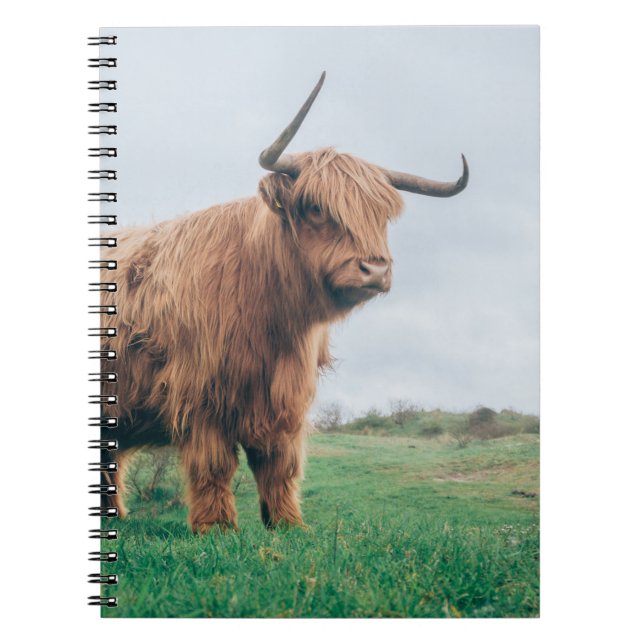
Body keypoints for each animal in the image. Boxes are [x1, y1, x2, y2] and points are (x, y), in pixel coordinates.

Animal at [100, 72, 468, 532]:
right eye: (316, 208)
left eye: (380, 215)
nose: (375, 270)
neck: (273, 318)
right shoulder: (201, 392)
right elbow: (214, 465)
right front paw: (216, 528)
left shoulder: (286, 398)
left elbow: (279, 465)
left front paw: (289, 524)